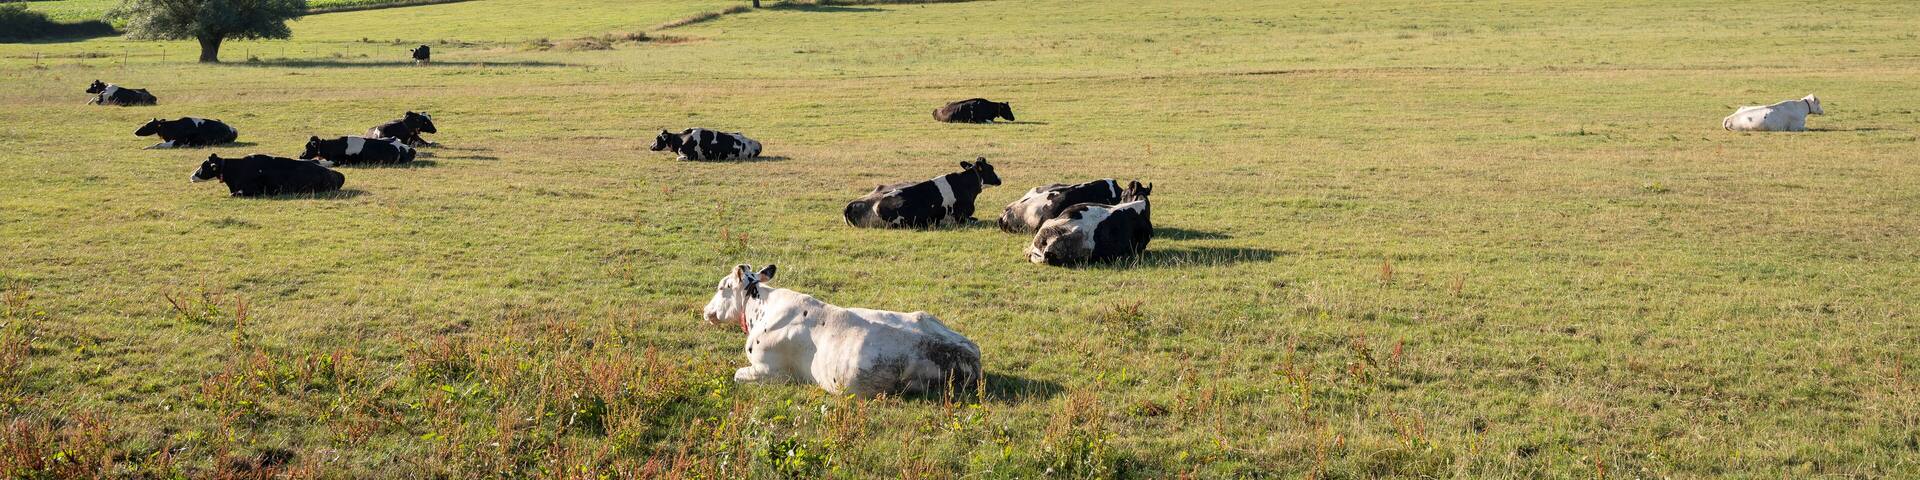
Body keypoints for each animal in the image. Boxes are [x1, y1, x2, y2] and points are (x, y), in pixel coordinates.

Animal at [702, 264, 983, 397]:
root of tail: (972, 356)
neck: (762, 309)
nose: (706, 311)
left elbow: (737, 374)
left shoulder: (771, 372)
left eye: (721, 287)